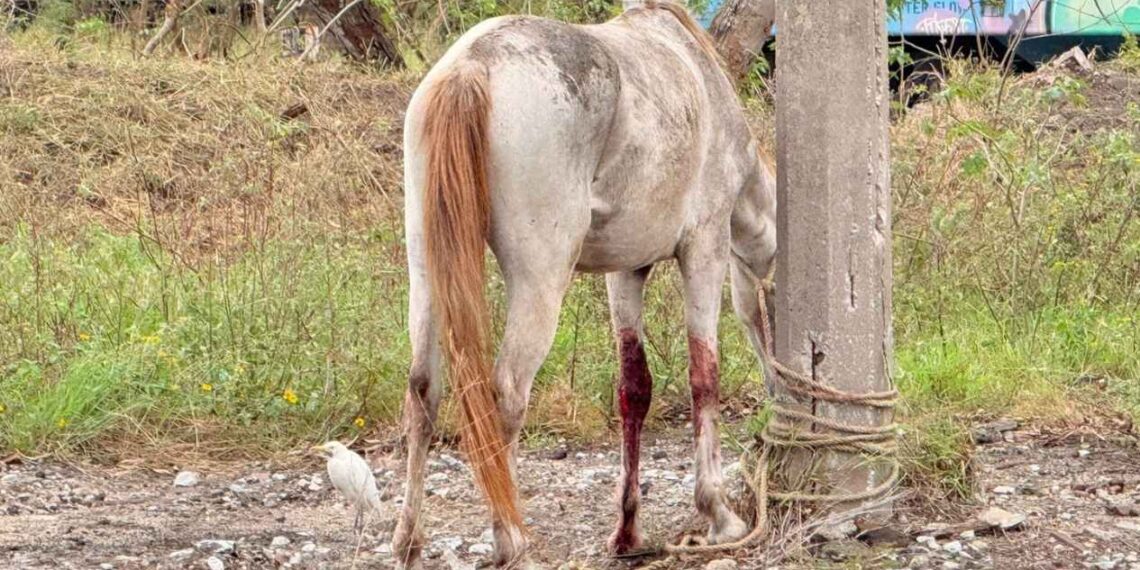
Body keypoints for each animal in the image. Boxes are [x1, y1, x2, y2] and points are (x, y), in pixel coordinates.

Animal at [395, 2, 777, 567]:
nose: (779, 387)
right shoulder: (705, 249)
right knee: (506, 394)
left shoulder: (626, 271)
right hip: (540, 280)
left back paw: (408, 539)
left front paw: (628, 531)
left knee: (423, 391)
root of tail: (472, 65)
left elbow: (634, 389)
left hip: (425, 268)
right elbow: (704, 376)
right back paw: (511, 541)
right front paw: (719, 514)